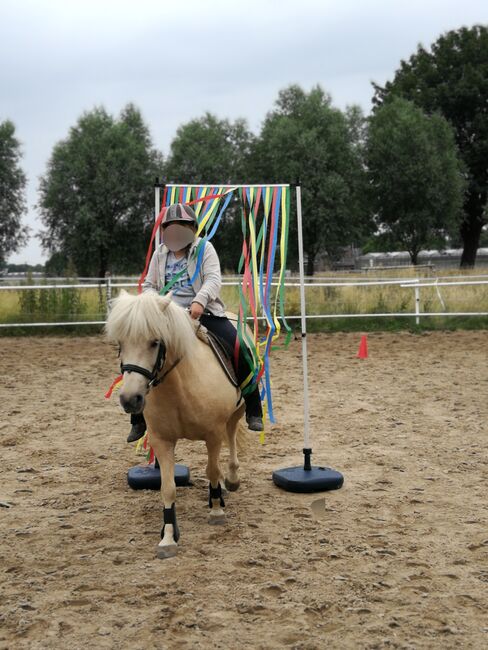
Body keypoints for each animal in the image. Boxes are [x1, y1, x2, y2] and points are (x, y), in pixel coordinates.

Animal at [105, 288, 246, 556]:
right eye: (120, 343)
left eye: (154, 342)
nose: (130, 399)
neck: (180, 386)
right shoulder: (162, 440)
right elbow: (167, 487)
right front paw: (169, 537)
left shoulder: (213, 435)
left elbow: (212, 470)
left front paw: (216, 510)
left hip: (238, 410)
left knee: (232, 434)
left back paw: (231, 479)